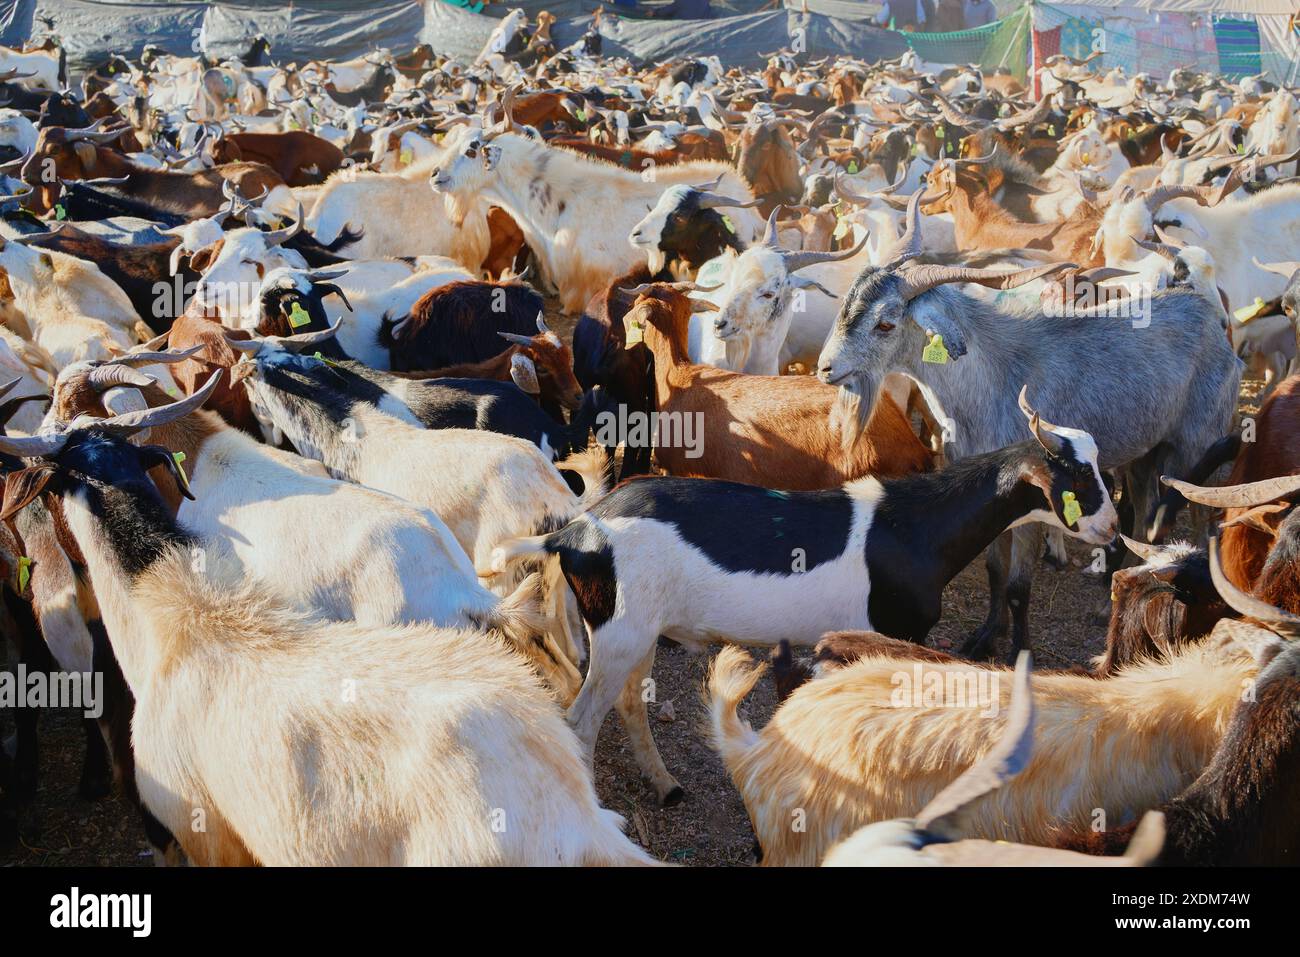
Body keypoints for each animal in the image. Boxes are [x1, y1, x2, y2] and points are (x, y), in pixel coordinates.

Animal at [816, 192, 1242, 657]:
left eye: (885, 323)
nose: (825, 368)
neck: (993, 376)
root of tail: (1206, 314)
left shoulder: (1040, 495)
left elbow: (1019, 586)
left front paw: (1019, 649)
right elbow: (994, 571)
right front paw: (985, 636)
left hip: (1196, 442)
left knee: (1197, 513)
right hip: (1145, 452)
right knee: (1147, 510)